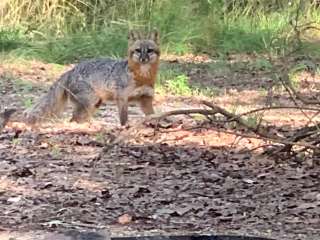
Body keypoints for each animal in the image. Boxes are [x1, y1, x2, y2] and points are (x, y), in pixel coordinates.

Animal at [23, 30, 160, 125]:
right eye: (138, 50)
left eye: (149, 50)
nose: (143, 59)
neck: (142, 78)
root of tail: (71, 70)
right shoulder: (122, 98)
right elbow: (123, 119)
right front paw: (124, 128)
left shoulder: (146, 99)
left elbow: (153, 115)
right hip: (90, 102)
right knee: (73, 119)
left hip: (95, 104)